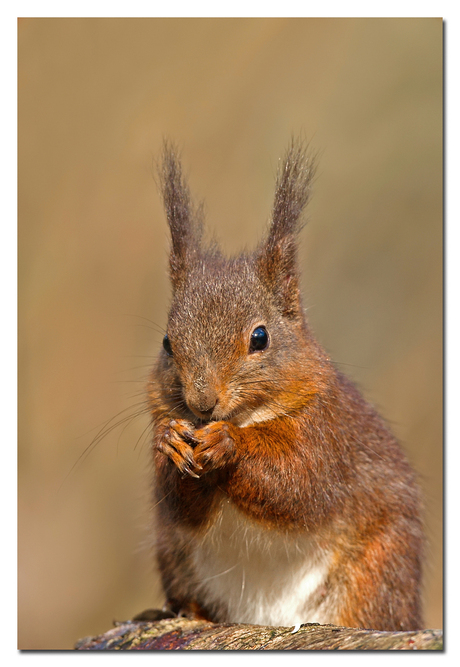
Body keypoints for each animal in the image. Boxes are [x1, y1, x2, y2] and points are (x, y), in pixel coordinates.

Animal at [147, 140, 424, 632]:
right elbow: (180, 505)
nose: (201, 403)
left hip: (378, 573)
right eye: (167, 343)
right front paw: (170, 442)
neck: (251, 417)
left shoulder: (327, 434)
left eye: (260, 337)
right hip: (174, 557)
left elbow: (299, 486)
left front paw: (229, 443)